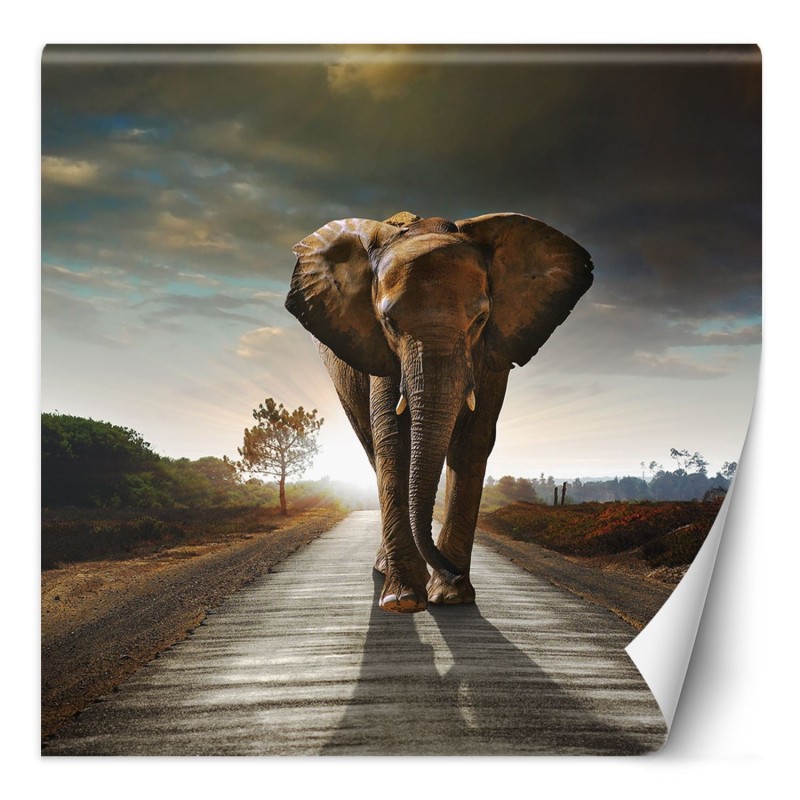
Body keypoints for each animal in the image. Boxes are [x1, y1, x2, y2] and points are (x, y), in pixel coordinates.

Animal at [285, 211, 593, 614]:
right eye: (389, 323)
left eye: (480, 320)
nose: (451, 572)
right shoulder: (381, 354)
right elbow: (393, 441)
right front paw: (403, 601)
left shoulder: (493, 351)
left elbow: (472, 441)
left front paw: (451, 597)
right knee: (372, 449)